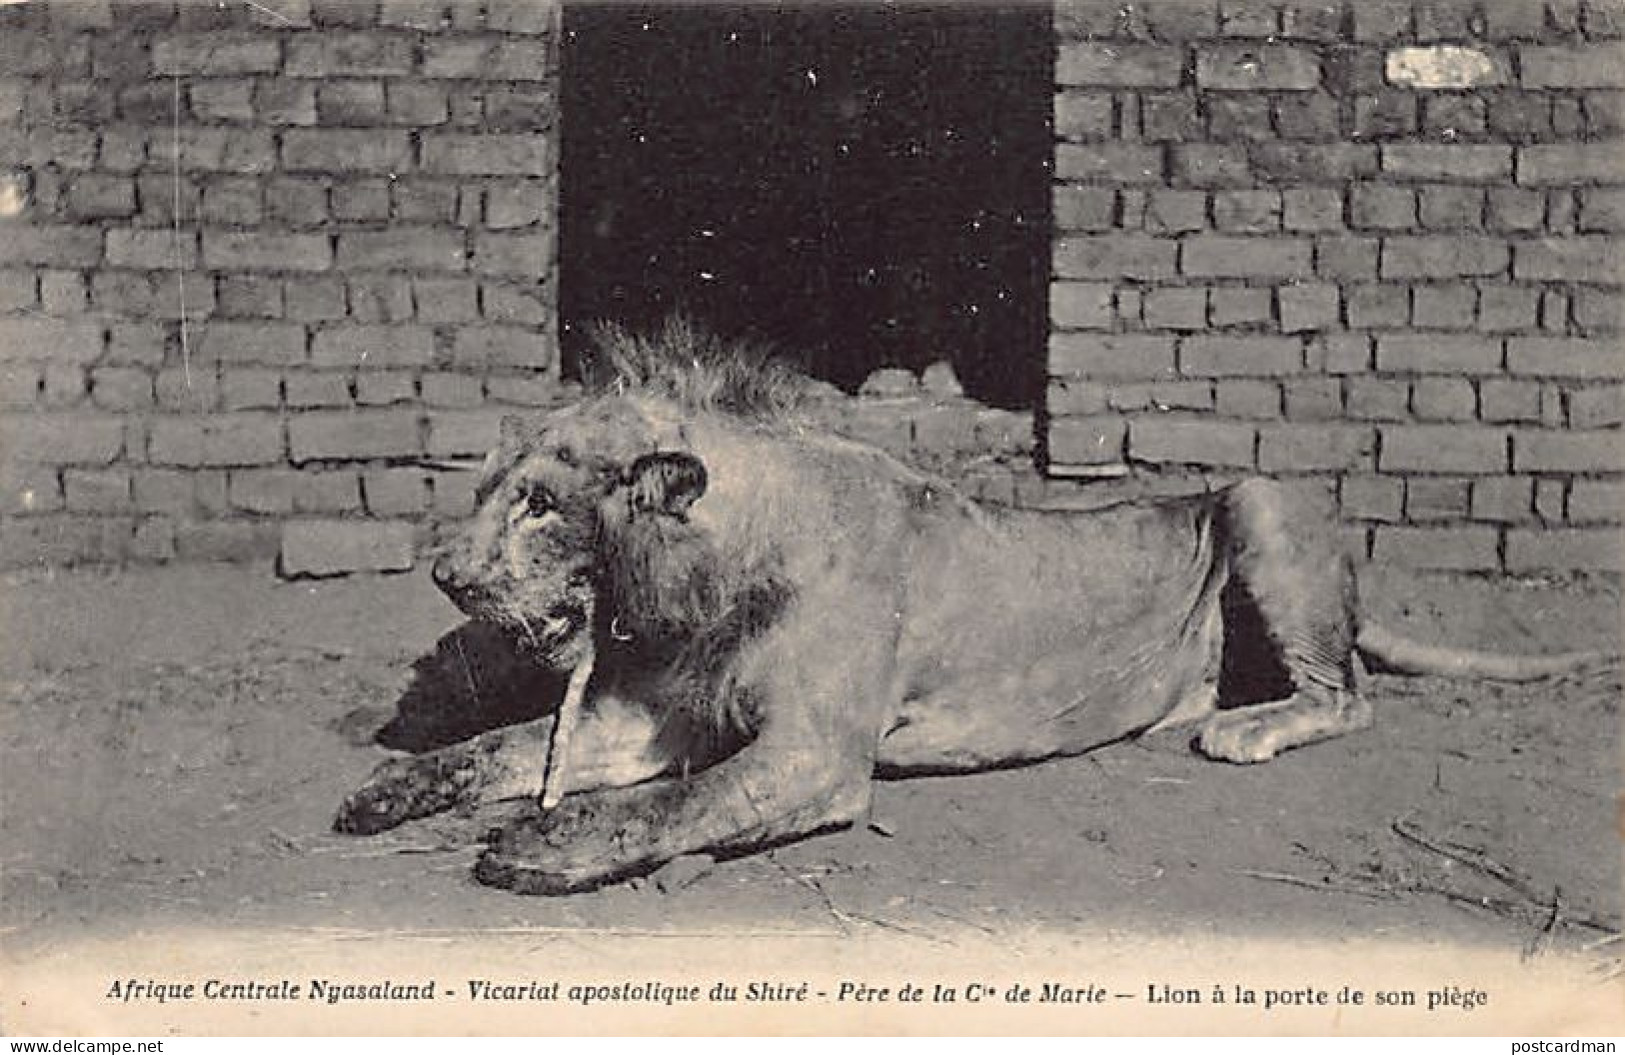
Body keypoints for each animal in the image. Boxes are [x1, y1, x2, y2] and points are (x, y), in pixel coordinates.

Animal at [335, 320, 1612, 894]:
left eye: (540, 500)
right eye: (493, 483)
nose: (447, 577)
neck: (702, 576)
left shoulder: (812, 755)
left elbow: (669, 806)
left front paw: (539, 846)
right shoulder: (643, 716)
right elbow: (502, 745)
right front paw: (385, 789)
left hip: (1254, 497)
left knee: (1345, 693)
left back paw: (1239, 727)